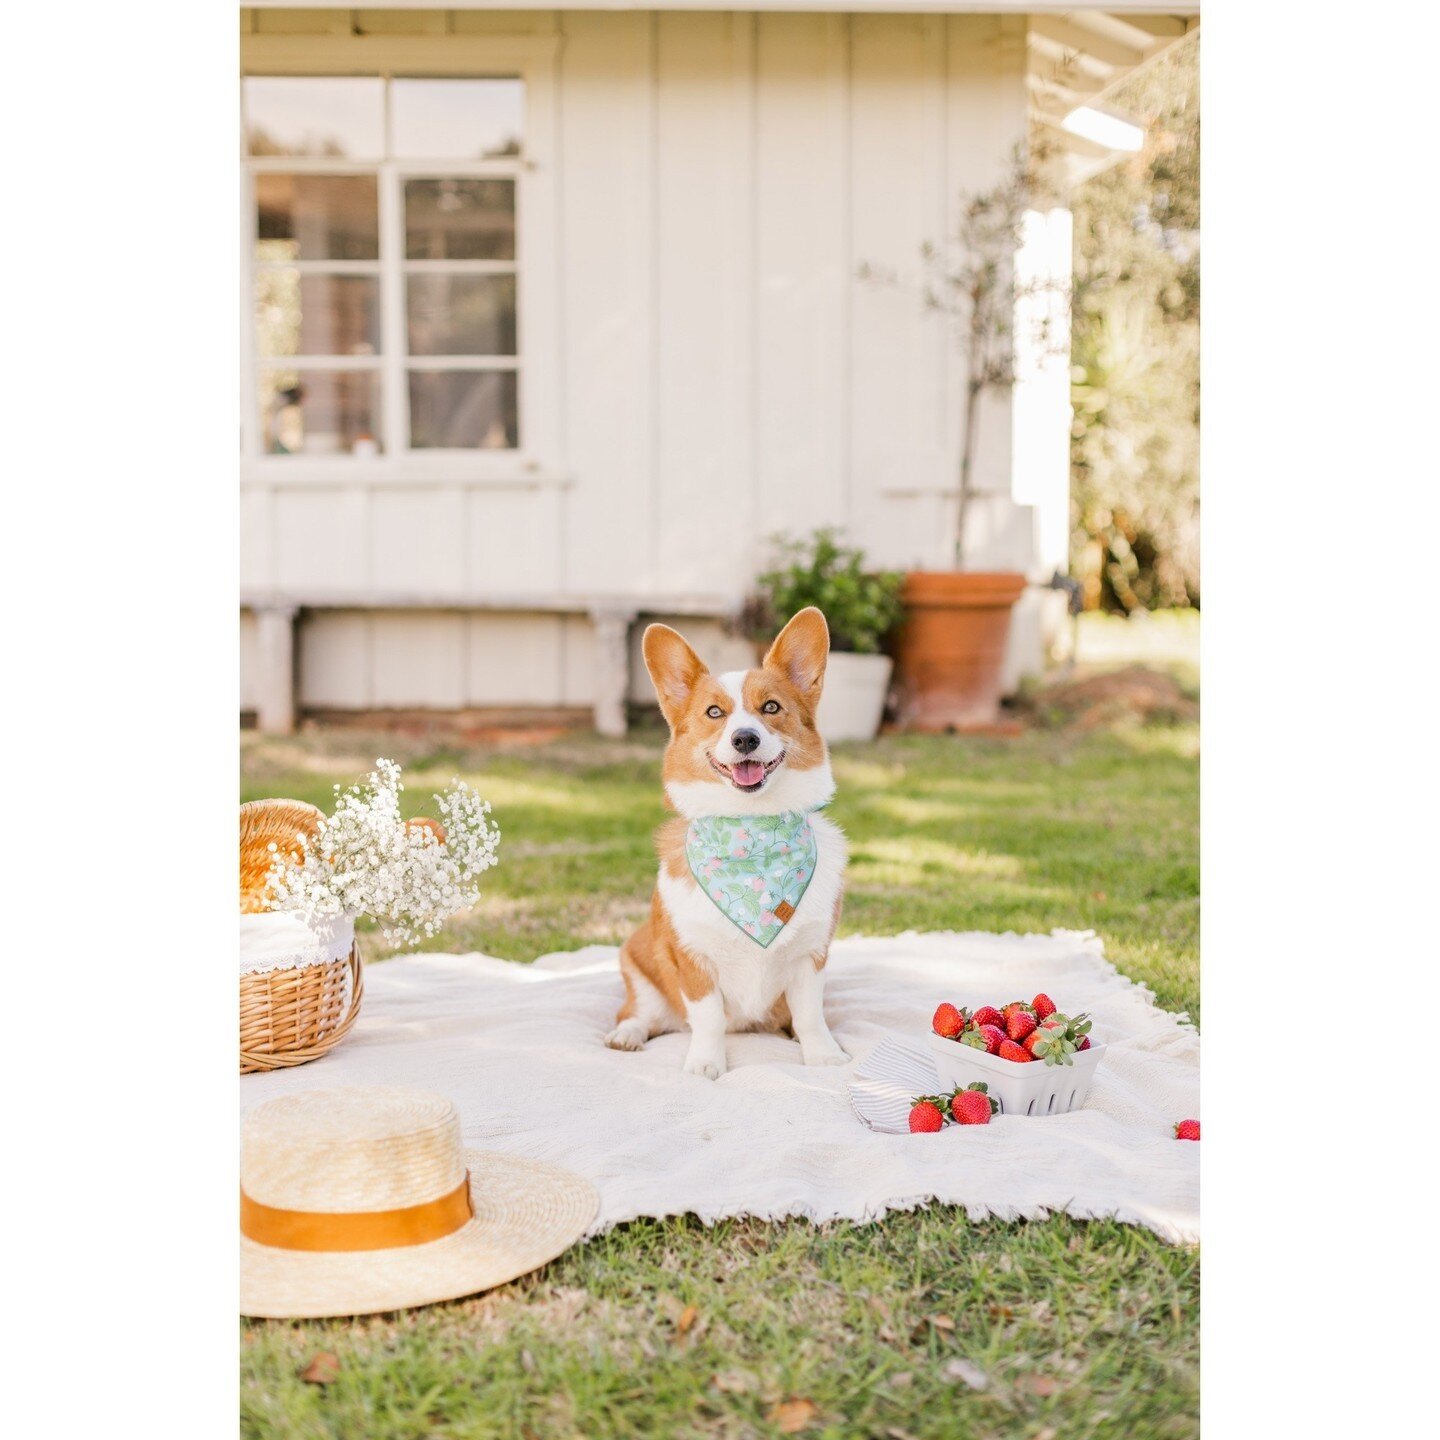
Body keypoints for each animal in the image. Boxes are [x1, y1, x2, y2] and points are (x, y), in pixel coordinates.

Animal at [604, 607, 846, 1082]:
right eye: (714, 712)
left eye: (771, 707)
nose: (745, 739)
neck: (752, 833)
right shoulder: (694, 960)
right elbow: (709, 1018)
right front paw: (706, 1063)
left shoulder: (811, 956)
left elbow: (811, 1015)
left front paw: (823, 1055)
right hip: (637, 960)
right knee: (639, 1012)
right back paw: (627, 1035)